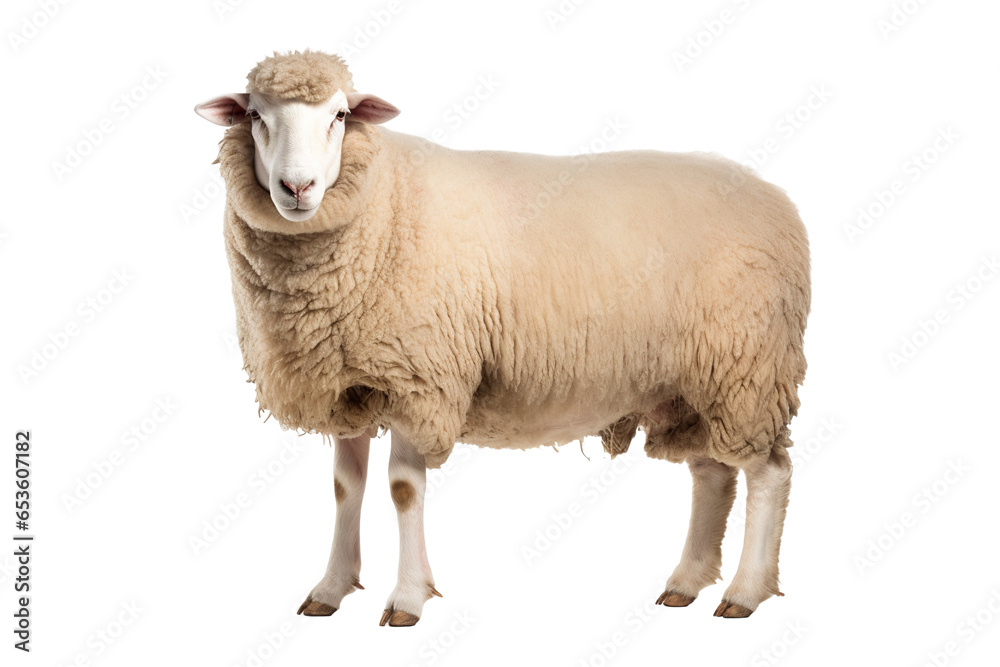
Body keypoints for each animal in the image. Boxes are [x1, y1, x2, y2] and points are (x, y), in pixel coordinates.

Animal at [194, 50, 810, 626]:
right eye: (255, 114)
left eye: (340, 115)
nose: (297, 187)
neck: (382, 205)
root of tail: (776, 197)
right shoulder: (350, 384)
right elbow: (346, 486)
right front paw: (330, 588)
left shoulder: (422, 378)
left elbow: (402, 489)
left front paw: (408, 599)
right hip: (692, 382)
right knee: (713, 473)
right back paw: (686, 582)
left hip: (749, 368)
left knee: (769, 474)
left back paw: (744, 593)